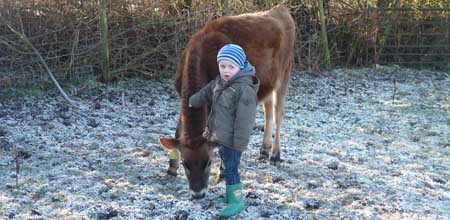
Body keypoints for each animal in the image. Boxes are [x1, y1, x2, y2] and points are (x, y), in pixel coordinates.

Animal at [158, 5, 296, 199]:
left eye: (208, 162)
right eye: (186, 163)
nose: (198, 193)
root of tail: (280, 9)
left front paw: (222, 172)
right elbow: (179, 130)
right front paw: (171, 169)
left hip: (284, 73)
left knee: (278, 113)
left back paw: (275, 154)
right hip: (266, 83)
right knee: (268, 110)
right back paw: (264, 149)